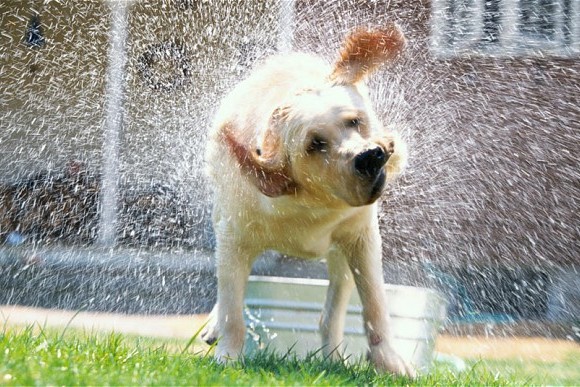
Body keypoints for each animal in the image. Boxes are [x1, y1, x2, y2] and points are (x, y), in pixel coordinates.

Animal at [204, 24, 412, 376]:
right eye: (315, 144)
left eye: (355, 121)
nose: (369, 156)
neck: (312, 205)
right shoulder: (234, 237)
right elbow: (233, 309)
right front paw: (228, 358)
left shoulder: (362, 237)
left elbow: (374, 304)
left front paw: (390, 362)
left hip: (342, 257)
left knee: (332, 312)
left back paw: (334, 358)